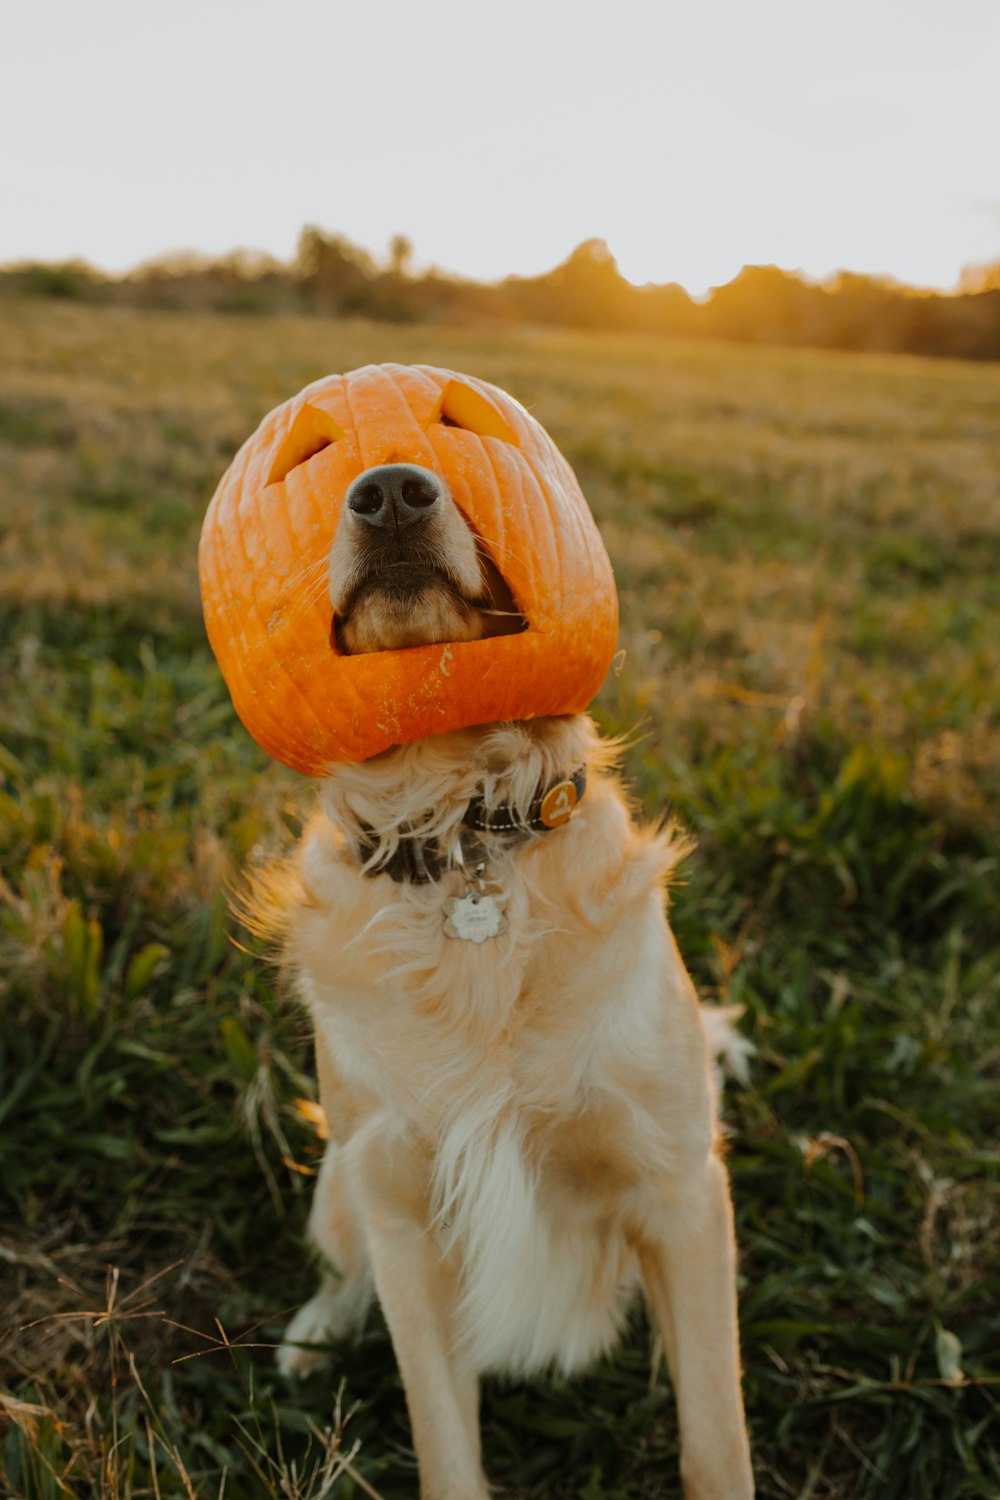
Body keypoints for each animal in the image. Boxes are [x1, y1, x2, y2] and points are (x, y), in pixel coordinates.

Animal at [262, 459, 755, 1500]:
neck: (459, 835)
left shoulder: (681, 1189)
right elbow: (444, 1441)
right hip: (344, 1177)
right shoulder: (405, 1212)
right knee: (342, 1265)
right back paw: (317, 1333)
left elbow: (714, 1439)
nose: (390, 492)